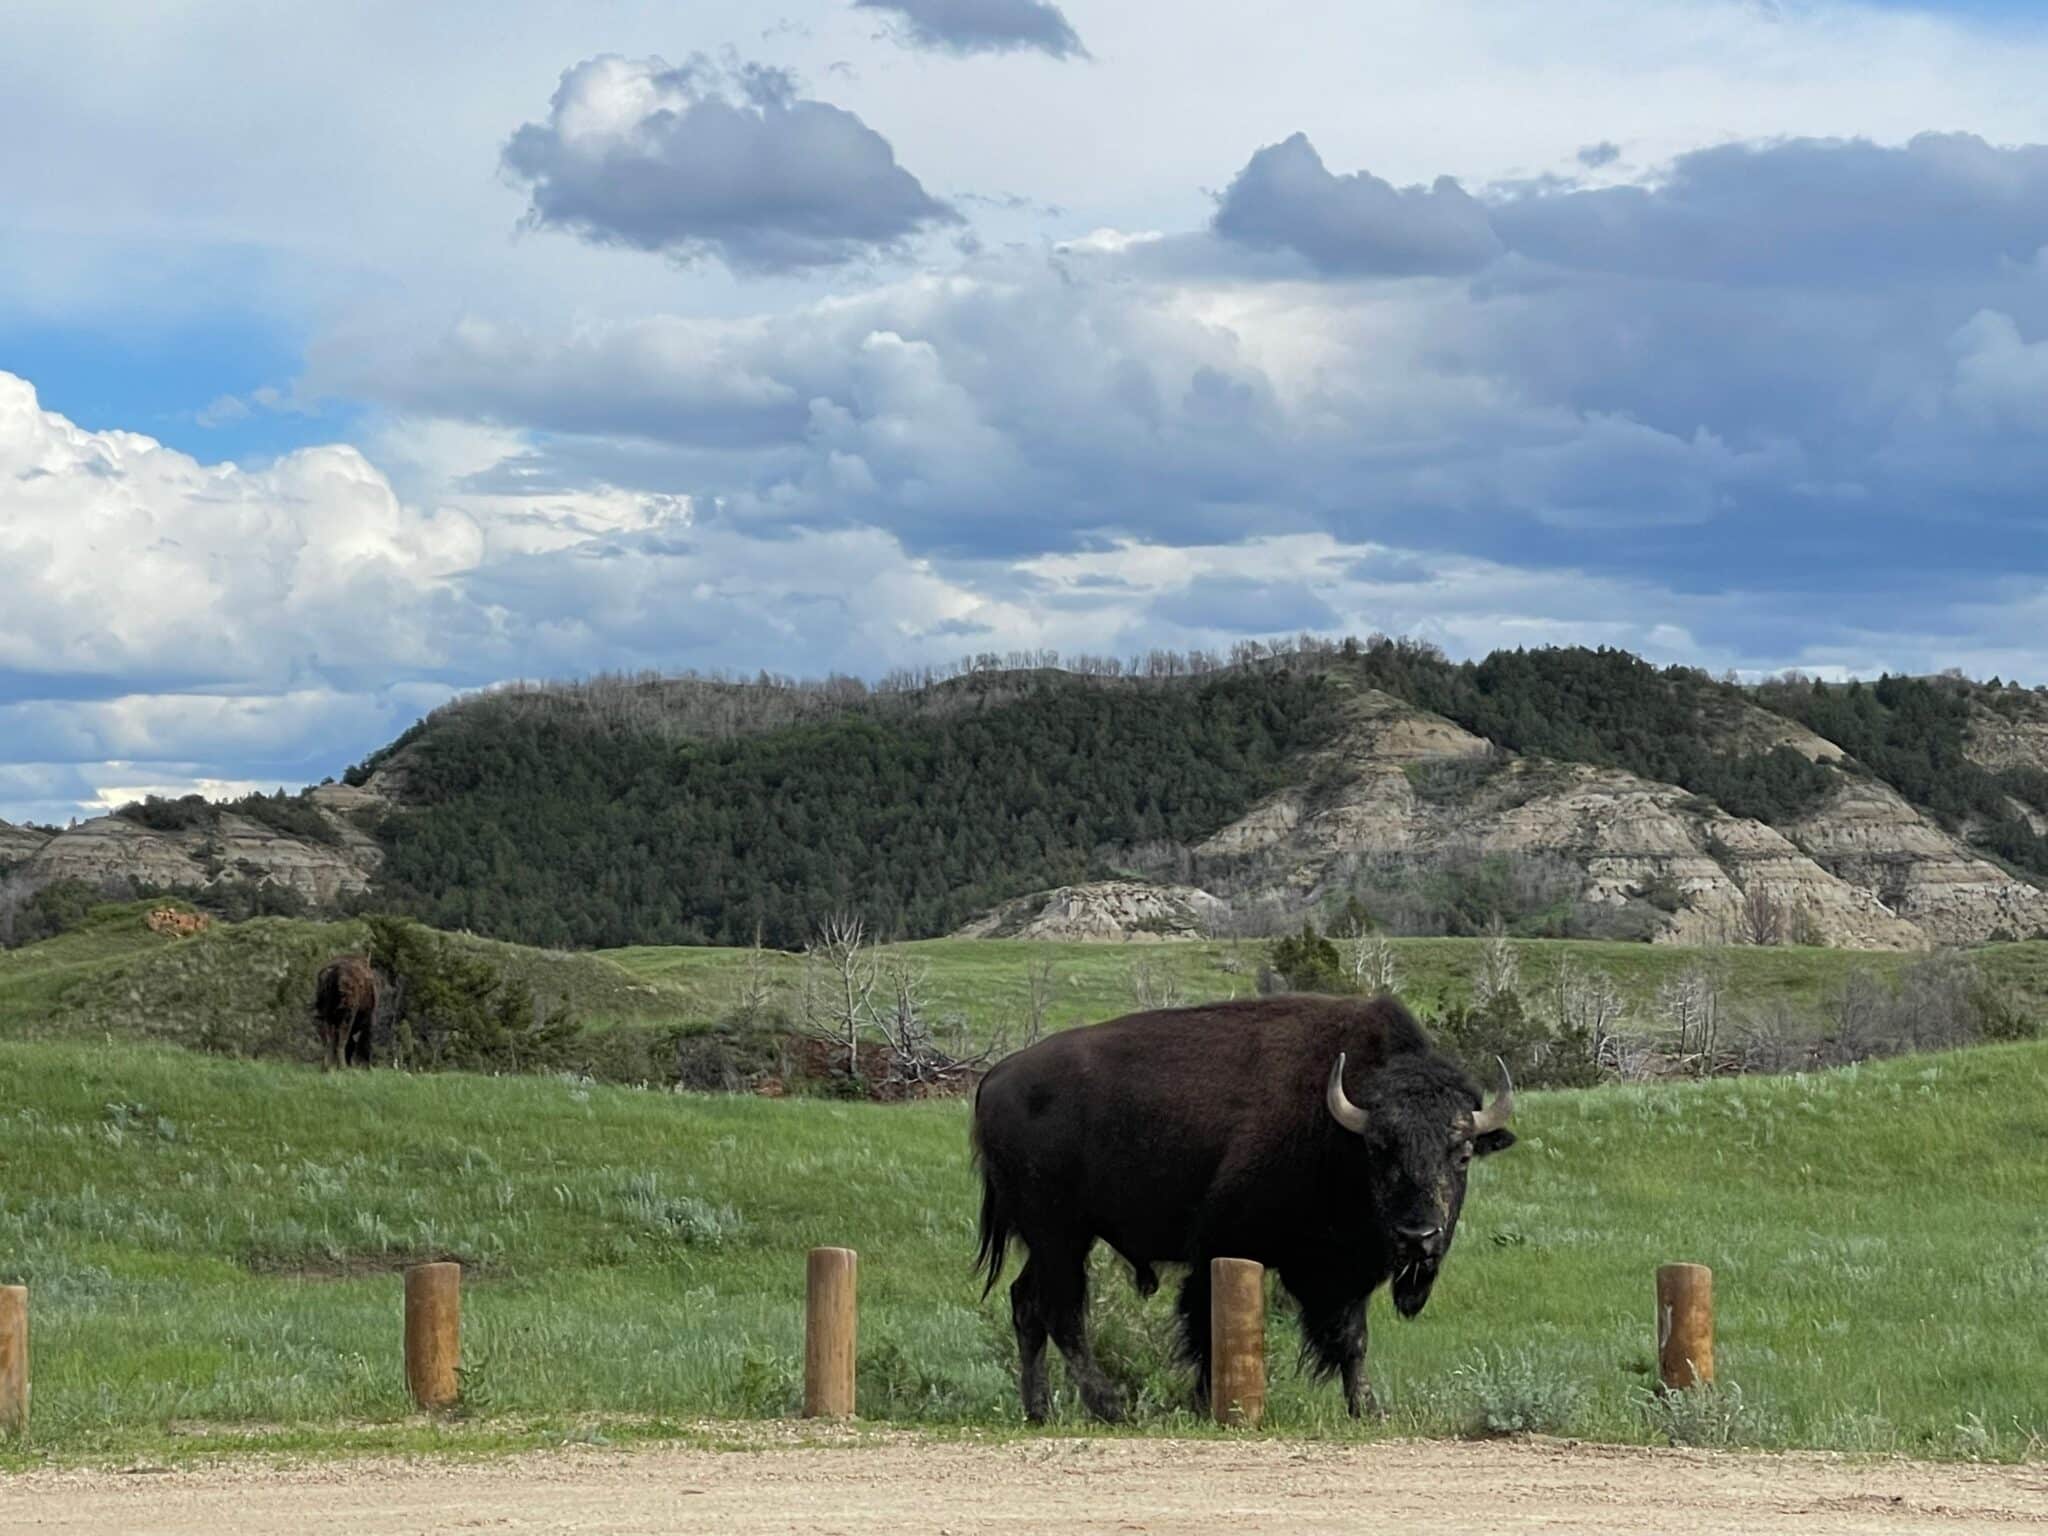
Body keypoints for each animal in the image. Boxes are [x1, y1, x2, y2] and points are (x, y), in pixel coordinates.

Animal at [966, 991, 1515, 1425]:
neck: (1336, 1127)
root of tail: (995, 1078)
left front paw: (1367, 1409)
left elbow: (1352, 1338)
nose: (1417, 1236)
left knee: (1026, 1305)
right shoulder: (1219, 1248)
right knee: (1062, 1313)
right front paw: (1209, 1405)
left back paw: (1039, 1410)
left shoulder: (1342, 1273)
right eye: (1379, 1150)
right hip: (1059, 1235)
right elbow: (1208, 1330)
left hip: (1051, 1241)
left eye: (1463, 1153)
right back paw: (1111, 1407)